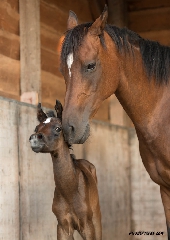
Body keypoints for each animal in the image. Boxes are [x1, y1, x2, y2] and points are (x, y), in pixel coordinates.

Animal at [28, 101, 102, 240]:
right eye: (36, 128)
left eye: (58, 128)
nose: (35, 138)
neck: (70, 191)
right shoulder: (63, 226)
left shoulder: (87, 225)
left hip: (96, 218)